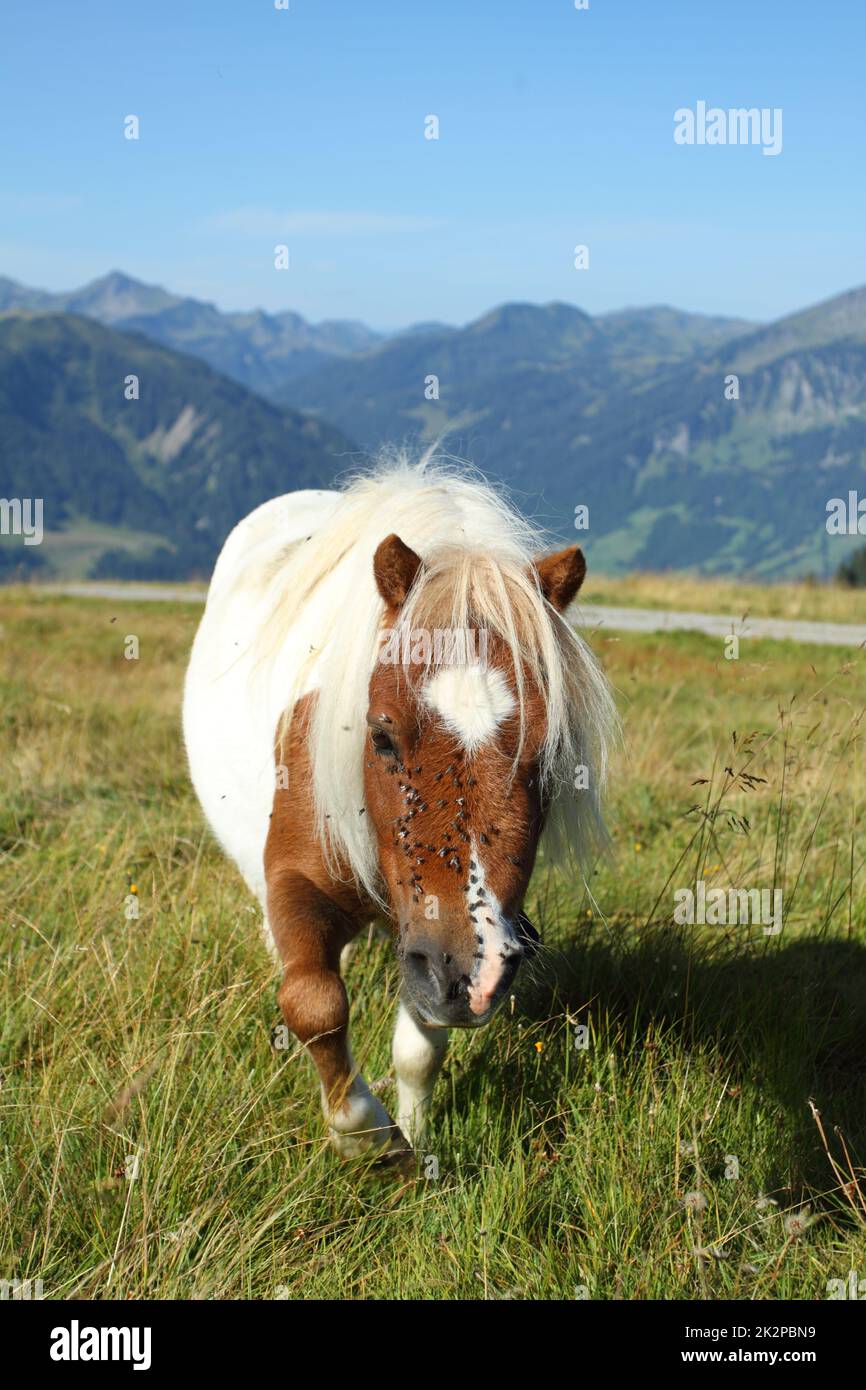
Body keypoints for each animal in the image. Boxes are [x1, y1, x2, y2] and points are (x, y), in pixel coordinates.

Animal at [183, 453, 617, 1162]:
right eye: (381, 735)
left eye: (549, 753)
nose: (475, 975)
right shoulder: (299, 882)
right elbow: (313, 1002)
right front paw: (368, 1135)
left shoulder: (424, 939)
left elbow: (420, 1049)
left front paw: (414, 1137)